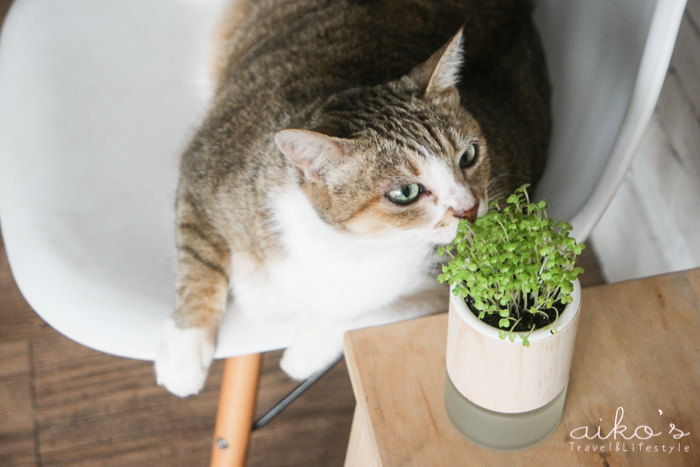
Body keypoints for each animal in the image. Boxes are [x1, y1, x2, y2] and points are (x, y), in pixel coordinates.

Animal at [154, 0, 552, 398]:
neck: (350, 247)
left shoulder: (444, 292)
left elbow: (363, 318)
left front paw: (305, 353)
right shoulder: (204, 169)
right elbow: (198, 258)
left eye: (468, 156)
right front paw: (183, 356)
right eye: (405, 193)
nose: (470, 209)